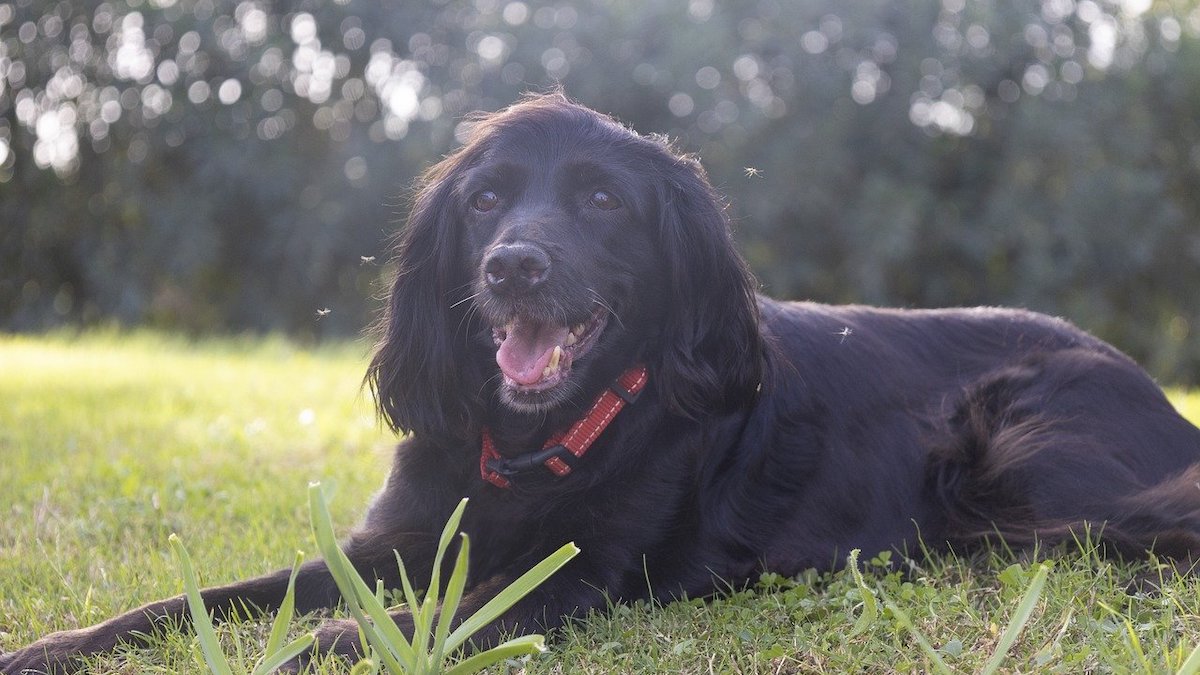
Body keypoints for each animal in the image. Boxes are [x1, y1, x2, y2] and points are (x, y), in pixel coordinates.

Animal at [2, 91, 1200, 667]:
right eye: (485, 199)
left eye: (604, 201)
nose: (511, 267)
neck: (527, 443)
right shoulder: (389, 546)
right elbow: (185, 601)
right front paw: (50, 647)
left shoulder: (582, 581)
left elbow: (393, 627)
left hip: (1016, 456)